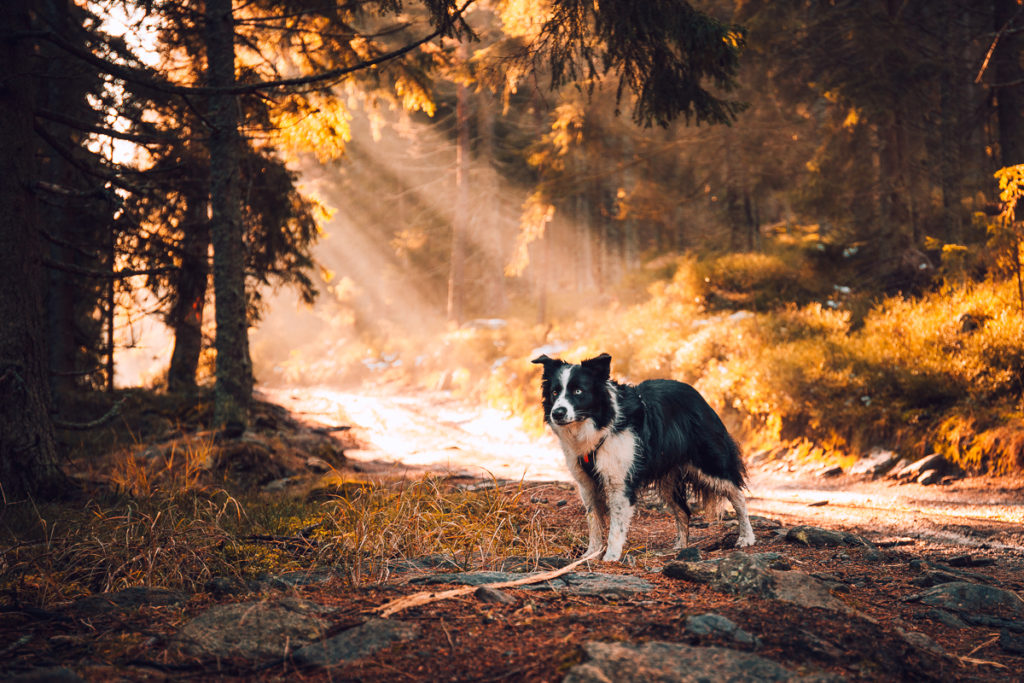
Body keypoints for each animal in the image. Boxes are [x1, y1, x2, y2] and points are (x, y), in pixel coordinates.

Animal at [532, 352, 757, 561]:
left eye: (578, 391)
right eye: (554, 392)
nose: (557, 413)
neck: (597, 423)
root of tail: (696, 394)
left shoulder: (619, 482)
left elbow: (616, 525)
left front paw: (611, 557)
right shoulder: (587, 483)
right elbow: (594, 520)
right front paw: (590, 555)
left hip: (710, 463)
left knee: (738, 496)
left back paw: (746, 537)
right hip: (668, 479)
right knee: (684, 511)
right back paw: (680, 547)